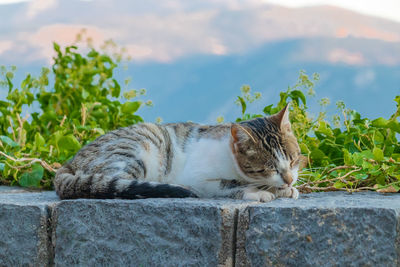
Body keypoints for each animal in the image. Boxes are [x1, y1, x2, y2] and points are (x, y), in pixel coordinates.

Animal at [54, 104, 302, 203]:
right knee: (115, 184)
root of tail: (69, 162)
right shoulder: (199, 178)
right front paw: (258, 191)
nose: (289, 179)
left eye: (293, 160)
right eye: (268, 168)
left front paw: (285, 189)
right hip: (136, 150)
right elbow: (229, 185)